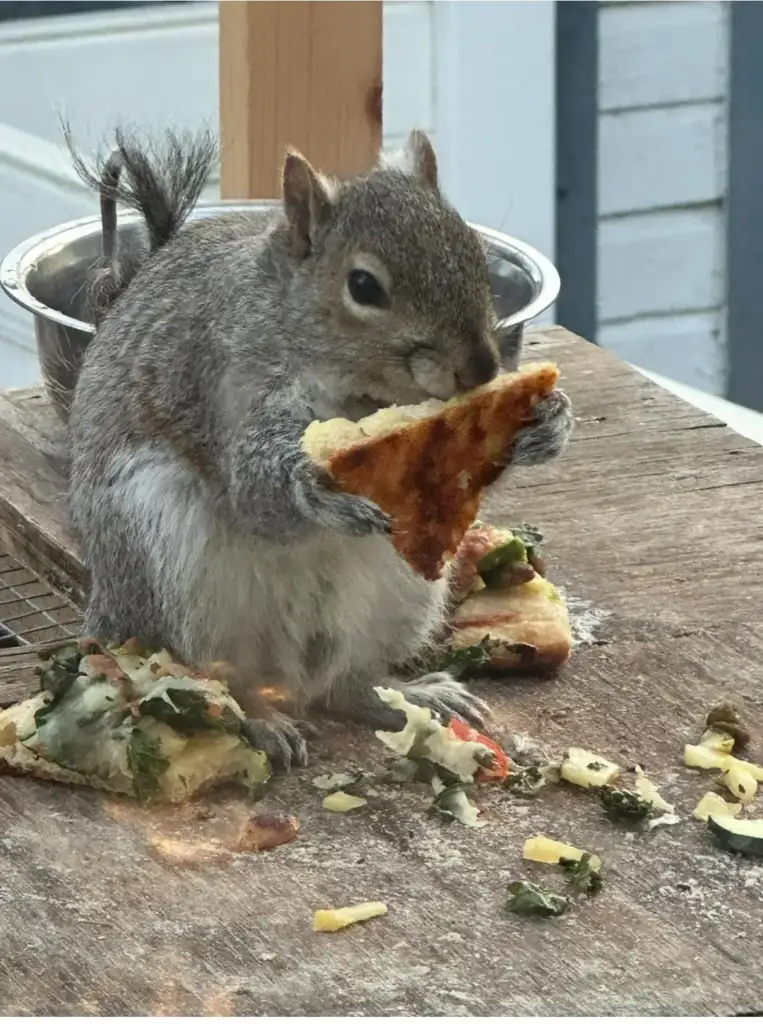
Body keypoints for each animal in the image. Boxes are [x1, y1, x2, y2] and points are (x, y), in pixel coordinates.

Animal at [67, 125, 573, 770]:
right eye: (363, 286)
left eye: (475, 254)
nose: (482, 368)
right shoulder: (224, 380)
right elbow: (255, 489)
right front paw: (316, 488)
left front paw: (548, 422)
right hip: (171, 565)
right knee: (217, 678)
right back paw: (259, 720)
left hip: (403, 591)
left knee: (343, 685)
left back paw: (411, 697)